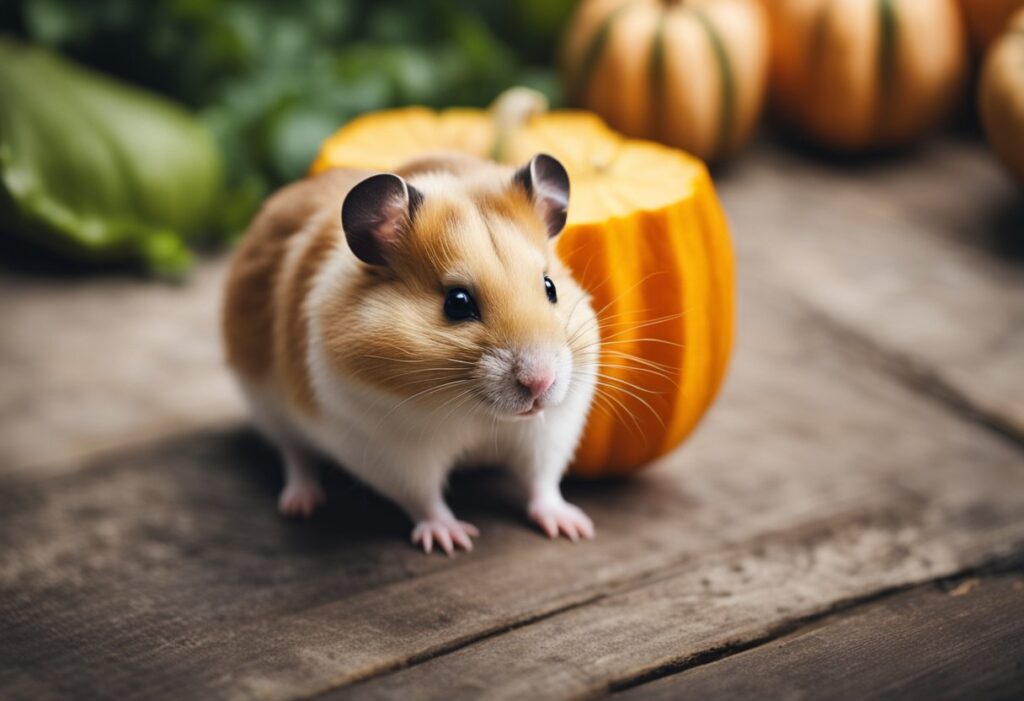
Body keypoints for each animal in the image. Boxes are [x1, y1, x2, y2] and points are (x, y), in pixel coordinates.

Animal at [222, 151, 599, 555]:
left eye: (550, 287)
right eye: (457, 303)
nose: (540, 383)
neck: (477, 414)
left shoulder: (548, 432)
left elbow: (542, 483)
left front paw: (575, 527)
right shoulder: (393, 449)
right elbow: (424, 498)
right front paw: (454, 540)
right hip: (271, 411)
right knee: (295, 456)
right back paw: (300, 504)